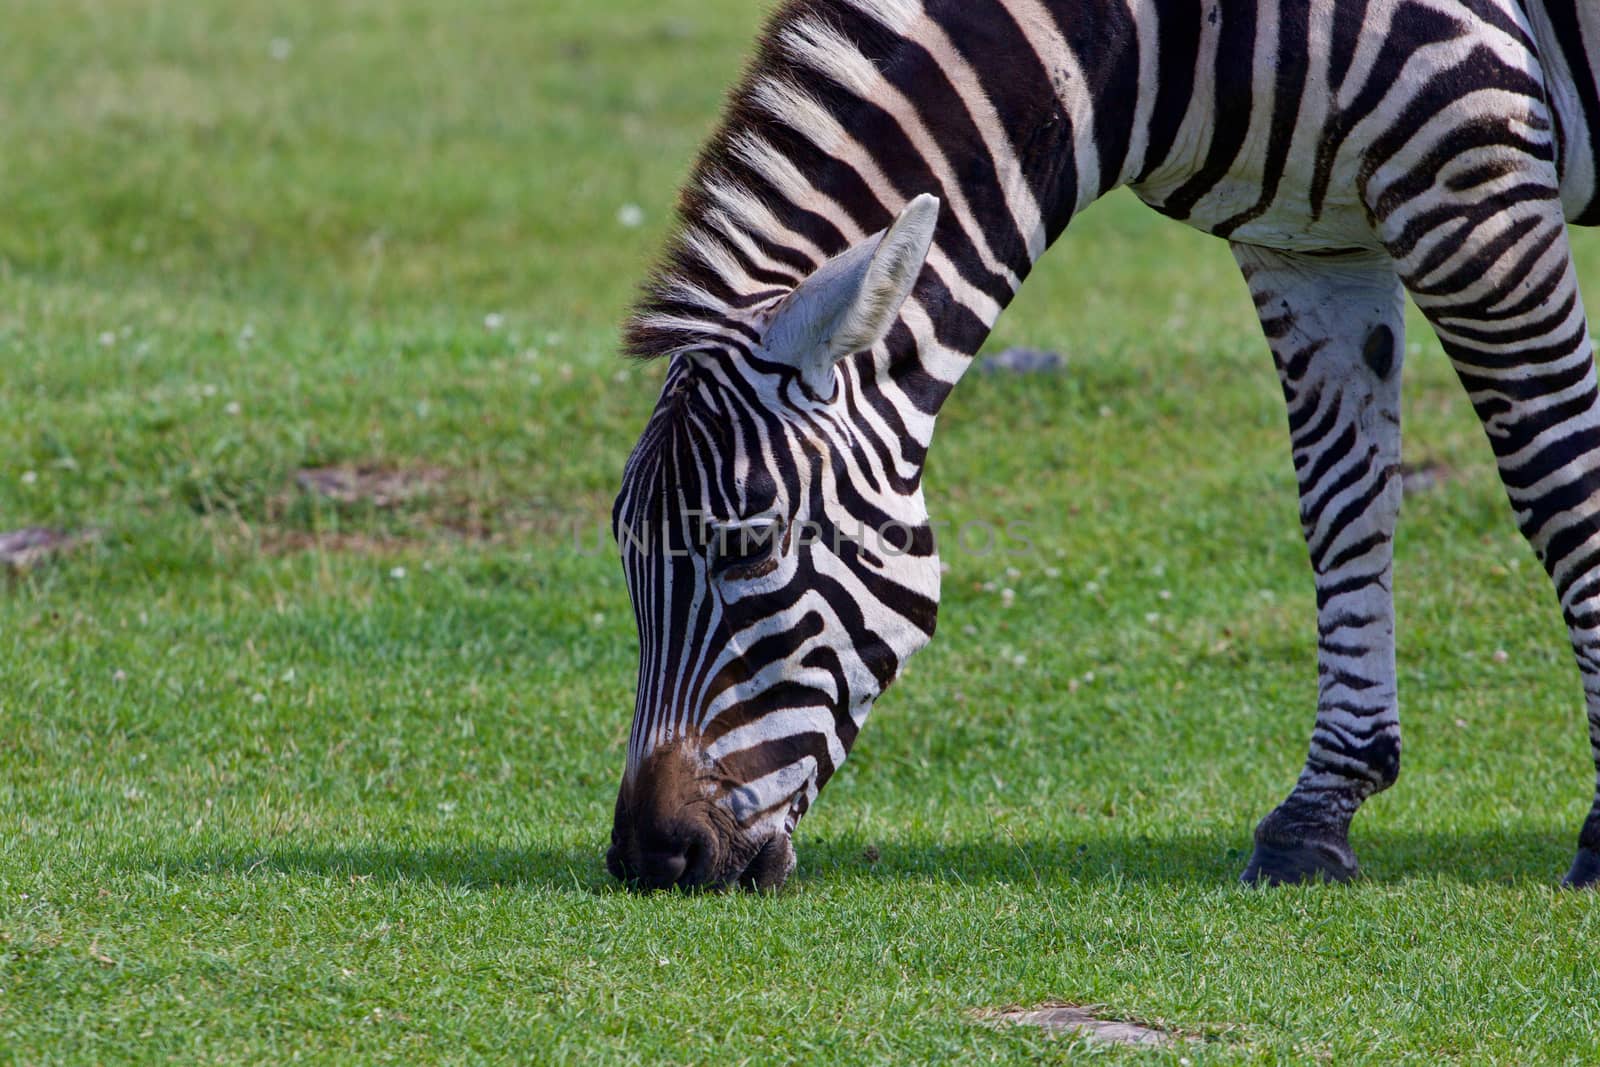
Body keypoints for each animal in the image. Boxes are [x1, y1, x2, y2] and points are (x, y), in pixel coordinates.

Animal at [601, 0, 1600, 895]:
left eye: (748, 547)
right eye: (625, 552)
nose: (649, 858)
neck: (1153, 40)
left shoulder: (1469, 173)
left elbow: (1560, 482)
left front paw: (1596, 835)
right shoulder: (1307, 240)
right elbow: (1342, 505)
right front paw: (1316, 816)